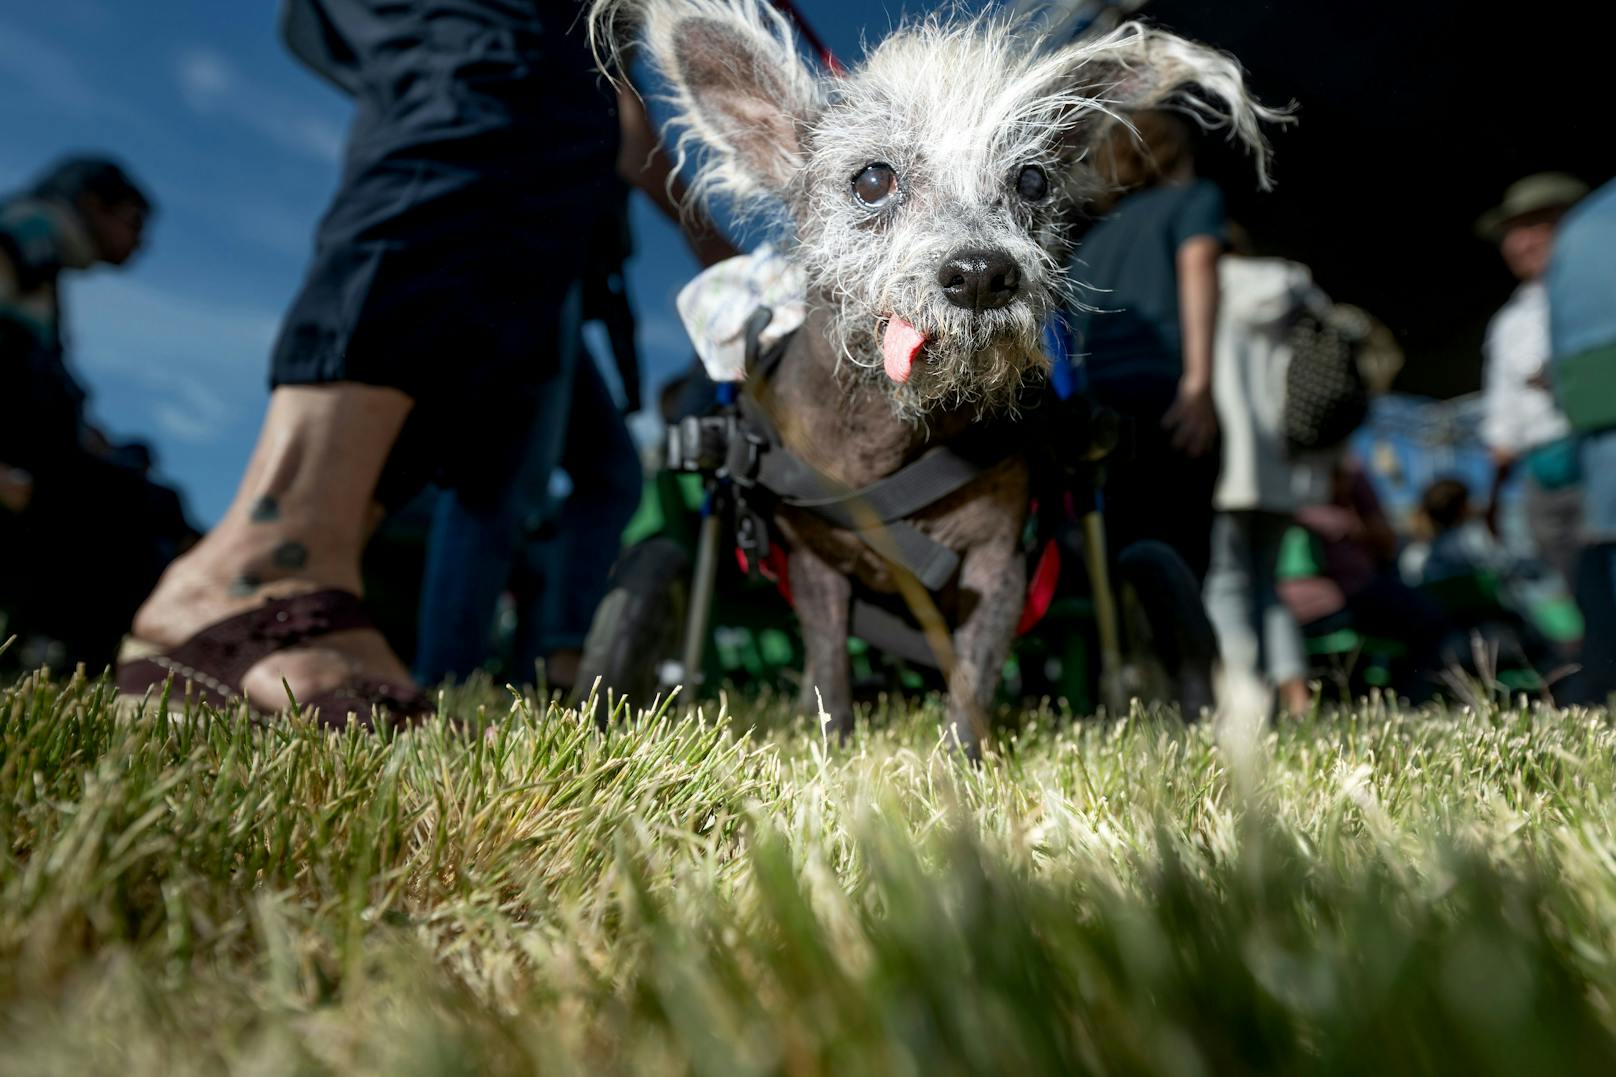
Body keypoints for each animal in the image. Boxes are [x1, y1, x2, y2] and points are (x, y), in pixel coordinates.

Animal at [588, 2, 1279, 753]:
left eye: (1032, 182)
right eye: (872, 179)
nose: (980, 273)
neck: (896, 434)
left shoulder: (1001, 569)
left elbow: (973, 679)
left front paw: (960, 763)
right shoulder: (816, 566)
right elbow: (829, 668)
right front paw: (832, 747)